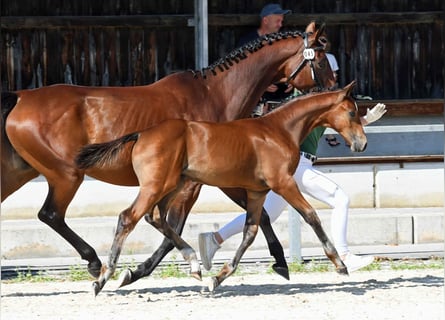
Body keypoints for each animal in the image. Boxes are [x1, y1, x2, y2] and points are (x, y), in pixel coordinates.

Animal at [0, 21, 332, 280]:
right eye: (322, 59)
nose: (335, 90)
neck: (215, 95)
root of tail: (21, 96)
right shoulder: (194, 184)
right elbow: (172, 229)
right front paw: (138, 271)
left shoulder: (221, 178)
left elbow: (258, 216)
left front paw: (279, 262)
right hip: (67, 175)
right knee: (51, 214)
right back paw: (94, 261)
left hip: (21, 172)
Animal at [76, 80, 366, 296]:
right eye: (352, 112)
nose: (361, 144)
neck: (278, 129)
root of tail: (142, 134)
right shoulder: (283, 182)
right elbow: (311, 216)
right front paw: (340, 264)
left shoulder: (257, 192)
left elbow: (250, 232)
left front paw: (218, 277)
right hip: (157, 186)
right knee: (129, 218)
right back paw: (103, 278)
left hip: (172, 185)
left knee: (156, 218)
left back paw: (194, 264)